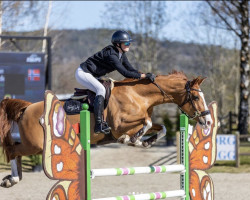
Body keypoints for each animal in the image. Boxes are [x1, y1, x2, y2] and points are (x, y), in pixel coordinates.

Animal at [0, 72, 212, 188]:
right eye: (195, 98)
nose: (208, 121)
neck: (139, 94)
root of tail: (26, 108)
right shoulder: (118, 125)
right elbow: (147, 123)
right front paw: (131, 139)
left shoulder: (140, 121)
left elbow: (160, 127)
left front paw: (145, 141)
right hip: (35, 145)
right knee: (12, 150)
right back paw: (13, 179)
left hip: (33, 145)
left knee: (15, 150)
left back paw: (12, 179)